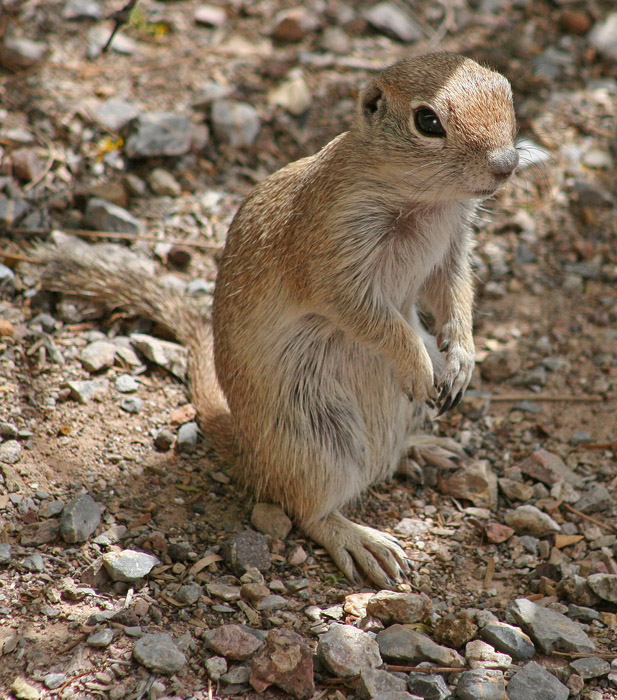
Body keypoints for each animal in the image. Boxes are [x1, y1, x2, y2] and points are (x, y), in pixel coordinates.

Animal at [41, 53, 516, 584]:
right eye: (428, 121)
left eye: (506, 90)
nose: (507, 164)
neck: (425, 200)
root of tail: (247, 454)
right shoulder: (334, 263)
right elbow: (375, 320)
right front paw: (418, 366)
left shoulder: (450, 250)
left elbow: (455, 294)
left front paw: (462, 361)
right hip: (318, 446)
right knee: (308, 510)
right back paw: (363, 542)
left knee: (385, 459)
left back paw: (428, 447)